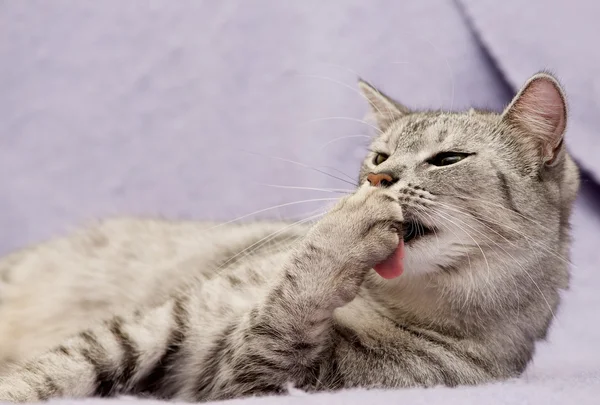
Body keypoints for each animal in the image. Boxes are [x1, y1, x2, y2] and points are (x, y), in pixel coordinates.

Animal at [0, 72, 580, 400]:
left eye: (448, 159)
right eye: (379, 157)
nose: (377, 180)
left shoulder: (253, 376)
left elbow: (283, 310)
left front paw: (343, 233)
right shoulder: (166, 321)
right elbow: (61, 365)